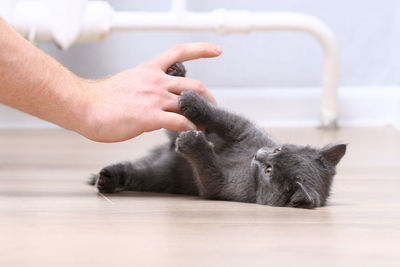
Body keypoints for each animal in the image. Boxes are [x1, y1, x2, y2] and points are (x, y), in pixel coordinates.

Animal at [89, 63, 346, 209]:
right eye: (277, 149)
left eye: (269, 171)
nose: (258, 155)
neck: (245, 162)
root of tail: (165, 154)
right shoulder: (244, 130)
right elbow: (222, 118)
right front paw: (192, 100)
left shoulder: (225, 187)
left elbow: (210, 172)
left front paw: (193, 142)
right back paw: (178, 75)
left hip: (160, 176)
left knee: (138, 172)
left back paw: (108, 179)